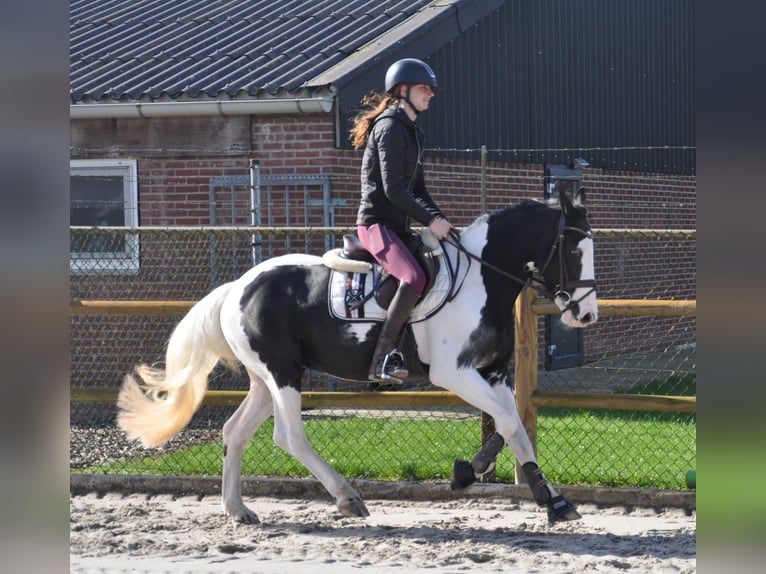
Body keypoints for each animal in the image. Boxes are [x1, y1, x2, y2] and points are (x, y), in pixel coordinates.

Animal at [118, 183, 600, 528]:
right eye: (574, 250)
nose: (586, 314)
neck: (482, 278)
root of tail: (238, 286)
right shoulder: (455, 374)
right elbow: (507, 422)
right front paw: (488, 476)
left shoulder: (493, 374)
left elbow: (512, 425)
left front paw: (544, 496)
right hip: (283, 373)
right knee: (289, 437)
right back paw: (347, 497)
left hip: (265, 377)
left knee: (235, 432)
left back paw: (238, 509)